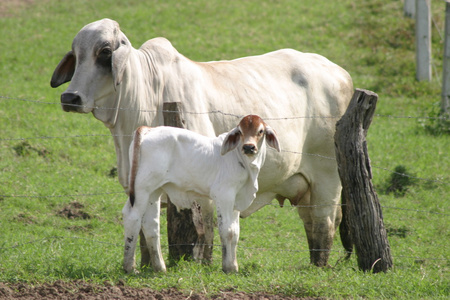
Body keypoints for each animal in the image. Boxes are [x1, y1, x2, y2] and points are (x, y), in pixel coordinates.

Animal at [121, 113, 280, 274]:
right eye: (240, 131)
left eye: (260, 131)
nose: (248, 147)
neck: (245, 164)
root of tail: (149, 130)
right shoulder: (224, 195)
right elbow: (227, 231)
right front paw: (228, 267)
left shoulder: (236, 201)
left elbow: (235, 232)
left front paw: (234, 266)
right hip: (142, 189)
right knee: (132, 217)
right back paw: (129, 267)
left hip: (154, 191)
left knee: (151, 224)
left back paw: (159, 267)